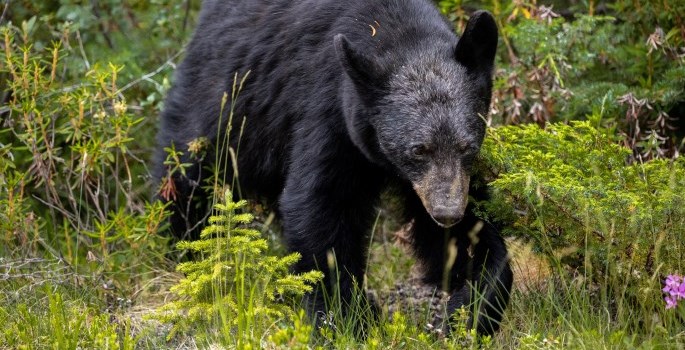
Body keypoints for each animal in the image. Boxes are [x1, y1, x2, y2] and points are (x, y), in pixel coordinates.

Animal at [155, 0, 508, 334]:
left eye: (467, 146)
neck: (395, 29)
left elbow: (468, 235)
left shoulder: (446, 178)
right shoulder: (329, 110)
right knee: (186, 171)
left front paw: (470, 309)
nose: (447, 213)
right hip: (226, 99)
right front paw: (346, 318)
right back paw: (182, 248)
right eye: (418, 149)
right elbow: (321, 206)